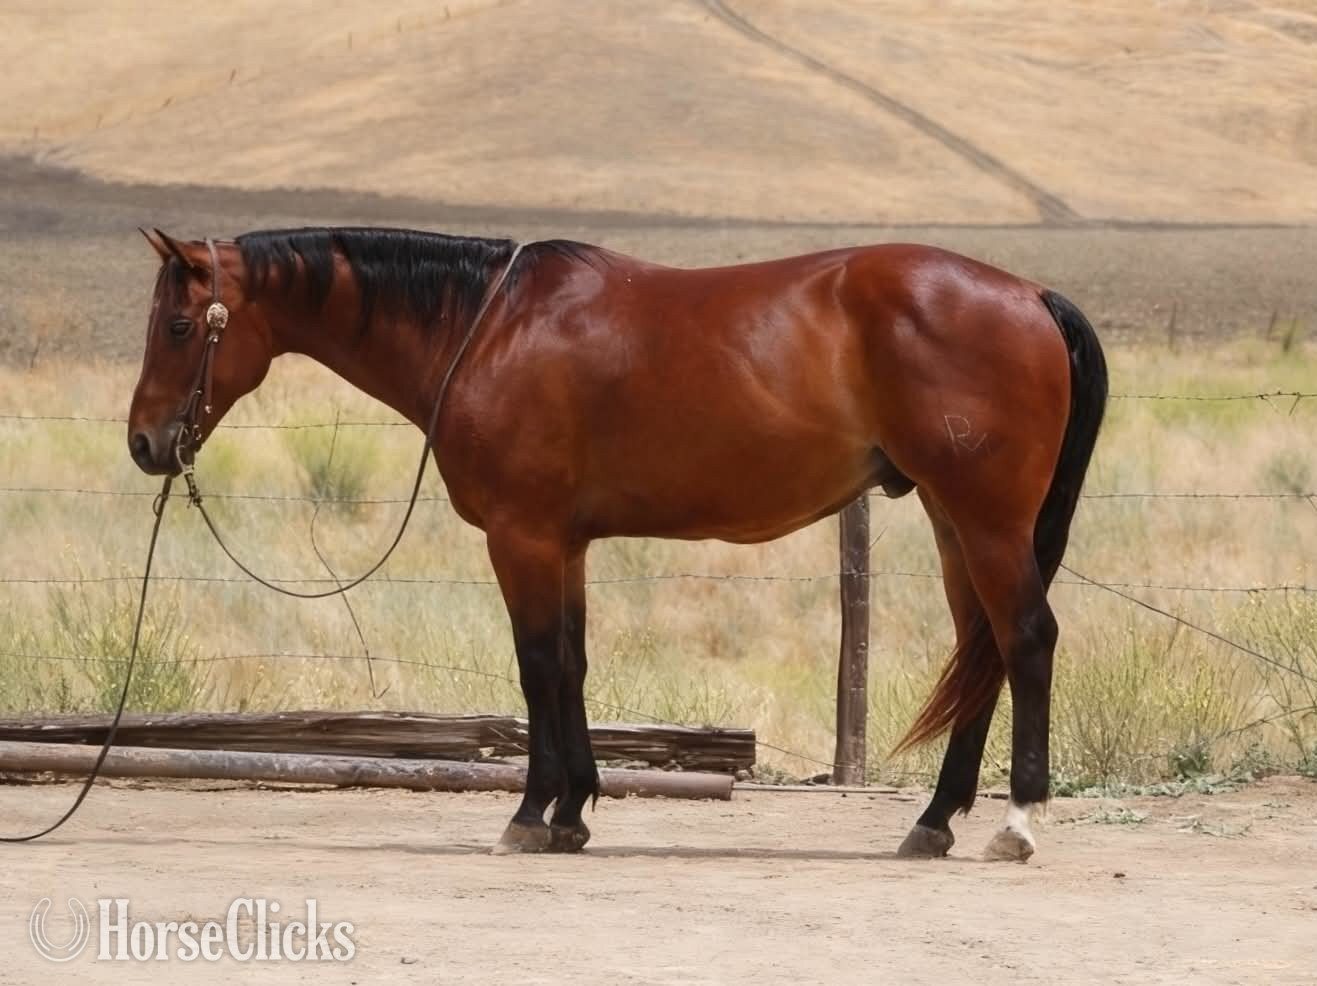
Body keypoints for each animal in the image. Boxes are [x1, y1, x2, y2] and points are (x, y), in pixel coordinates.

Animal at [128, 226, 1106, 861]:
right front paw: (572, 811)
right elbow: (570, 664)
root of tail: (1028, 295)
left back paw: (1015, 824)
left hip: (985, 519)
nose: (144, 444)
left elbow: (534, 667)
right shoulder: (563, 543)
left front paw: (529, 814)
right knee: (979, 649)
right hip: (951, 519)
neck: (486, 327)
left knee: (1024, 640)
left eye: (177, 327)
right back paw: (934, 821)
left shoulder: (520, 537)